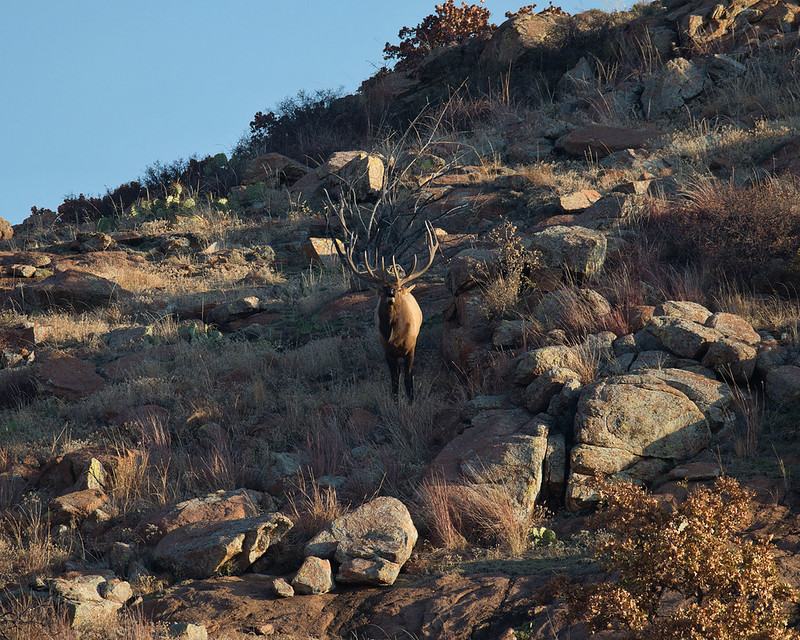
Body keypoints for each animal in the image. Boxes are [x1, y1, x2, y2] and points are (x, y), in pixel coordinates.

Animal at [336, 221, 439, 403]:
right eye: (382, 290)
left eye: (397, 289)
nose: (391, 292)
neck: (395, 336)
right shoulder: (387, 350)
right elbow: (394, 379)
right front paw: (396, 401)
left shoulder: (411, 347)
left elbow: (408, 378)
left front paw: (411, 401)